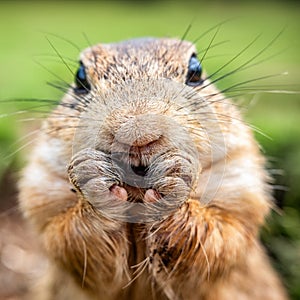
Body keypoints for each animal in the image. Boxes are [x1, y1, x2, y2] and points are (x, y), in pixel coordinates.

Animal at [18, 38, 288, 300]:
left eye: (195, 71)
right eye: (80, 78)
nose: (138, 132)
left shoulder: (241, 185)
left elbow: (220, 239)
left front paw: (174, 177)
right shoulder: (42, 192)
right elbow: (68, 242)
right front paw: (93, 178)